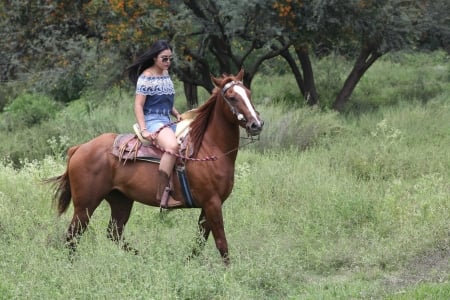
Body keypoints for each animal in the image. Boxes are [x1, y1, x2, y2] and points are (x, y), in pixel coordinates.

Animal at [46, 69, 264, 264]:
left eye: (248, 93)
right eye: (232, 97)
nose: (256, 124)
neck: (206, 147)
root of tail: (79, 148)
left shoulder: (209, 205)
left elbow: (199, 241)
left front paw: (186, 264)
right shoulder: (212, 203)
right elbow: (221, 242)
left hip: (121, 201)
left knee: (113, 233)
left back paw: (146, 259)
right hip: (85, 206)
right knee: (73, 235)